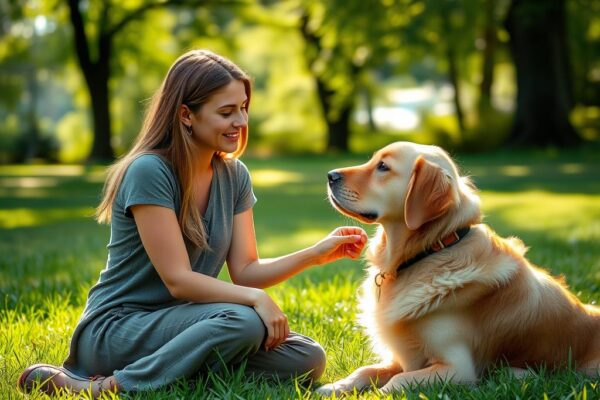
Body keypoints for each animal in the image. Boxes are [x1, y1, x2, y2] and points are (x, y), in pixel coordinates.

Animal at [316, 142, 596, 396]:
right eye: (373, 160)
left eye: (383, 167)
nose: (330, 175)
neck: (431, 250)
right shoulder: (402, 357)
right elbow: (365, 370)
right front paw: (333, 386)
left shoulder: (458, 369)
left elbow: (397, 381)